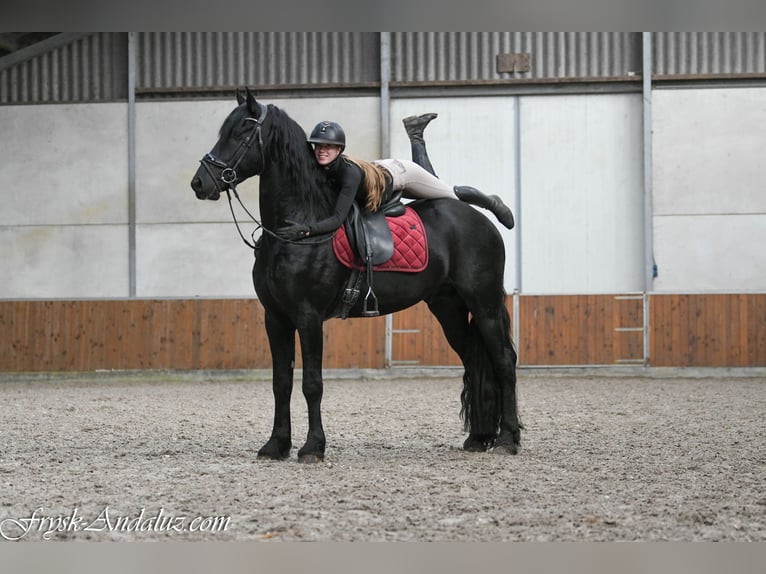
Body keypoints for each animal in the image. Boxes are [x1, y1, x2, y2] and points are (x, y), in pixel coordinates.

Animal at [190, 89, 521, 462]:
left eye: (242, 132)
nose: (200, 182)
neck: (295, 231)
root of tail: (479, 220)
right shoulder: (275, 317)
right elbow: (281, 382)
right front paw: (276, 445)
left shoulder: (308, 317)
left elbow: (312, 383)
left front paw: (312, 447)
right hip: (448, 307)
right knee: (473, 359)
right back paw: (479, 437)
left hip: (485, 303)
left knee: (504, 361)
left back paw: (508, 439)